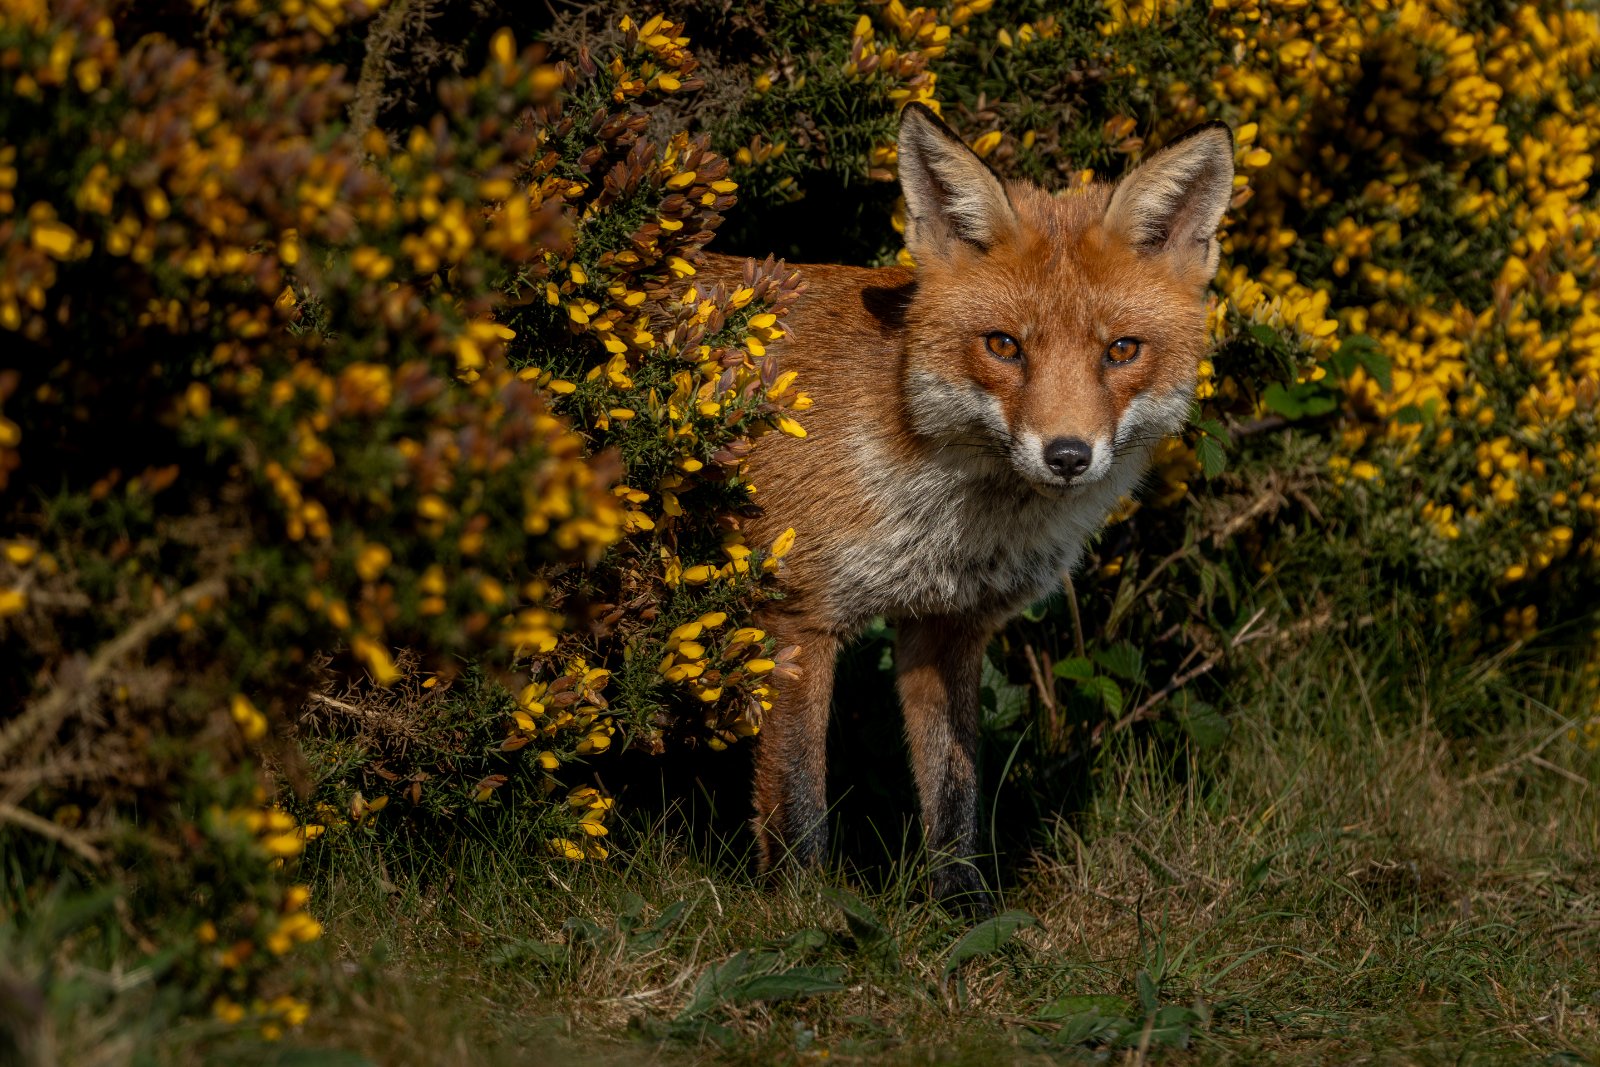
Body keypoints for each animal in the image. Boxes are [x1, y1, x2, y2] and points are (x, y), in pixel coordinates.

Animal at [698, 103, 1235, 906]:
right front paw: (802, 912)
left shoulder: (948, 625)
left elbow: (954, 795)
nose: (1067, 455)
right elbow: (798, 805)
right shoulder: (794, 617)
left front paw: (963, 913)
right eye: (1004, 346)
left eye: (1121, 351)